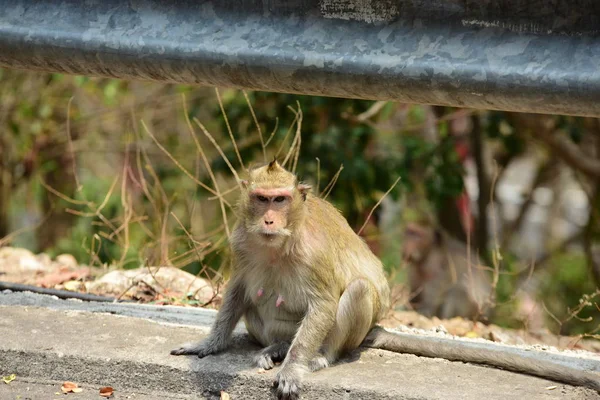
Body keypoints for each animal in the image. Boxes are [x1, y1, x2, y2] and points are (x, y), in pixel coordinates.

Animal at [171, 159, 600, 396]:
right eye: (261, 199)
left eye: (280, 199)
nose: (270, 220)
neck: (279, 241)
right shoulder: (240, 242)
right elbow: (237, 289)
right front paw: (208, 345)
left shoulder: (313, 253)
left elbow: (324, 301)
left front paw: (293, 368)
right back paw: (275, 346)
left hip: (349, 332)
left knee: (357, 291)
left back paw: (315, 356)